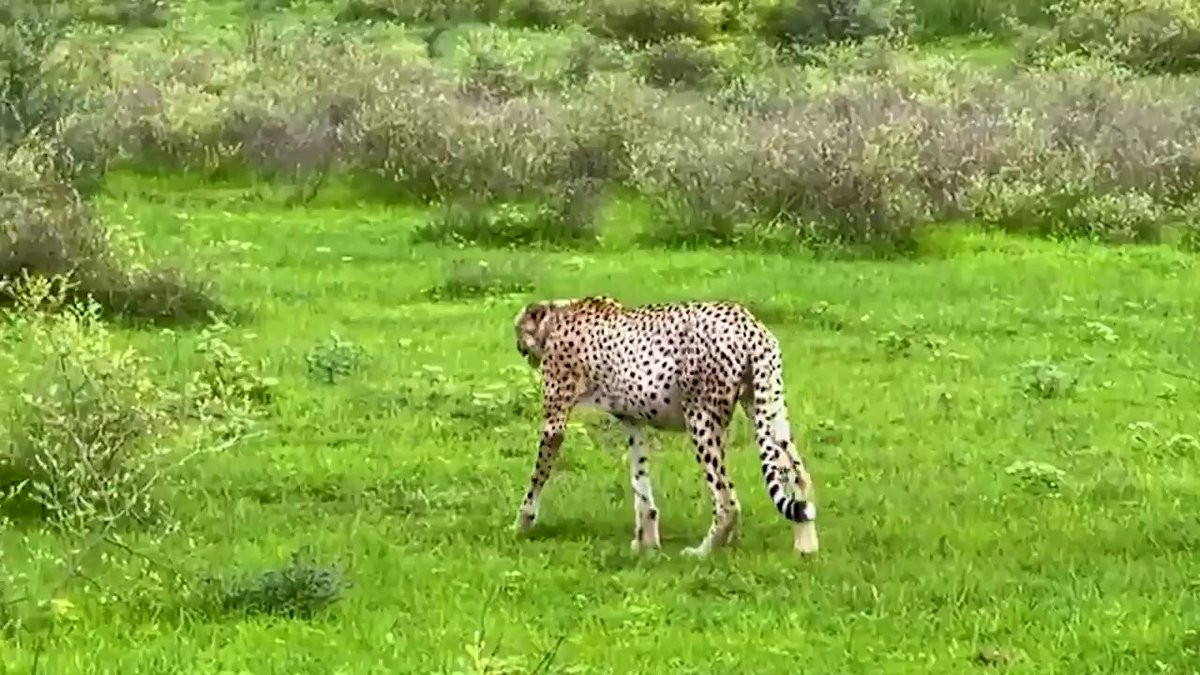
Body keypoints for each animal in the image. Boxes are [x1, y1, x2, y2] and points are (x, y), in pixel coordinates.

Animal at [510, 295, 818, 558]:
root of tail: (748, 322)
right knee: (798, 475)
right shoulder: (633, 422)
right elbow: (640, 483)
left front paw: (522, 522)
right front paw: (646, 542)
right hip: (768, 410)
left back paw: (702, 552)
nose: (518, 347)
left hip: (701, 419)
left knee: (726, 500)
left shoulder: (555, 422)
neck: (557, 317)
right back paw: (806, 546)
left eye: (518, 329)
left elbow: (537, 476)